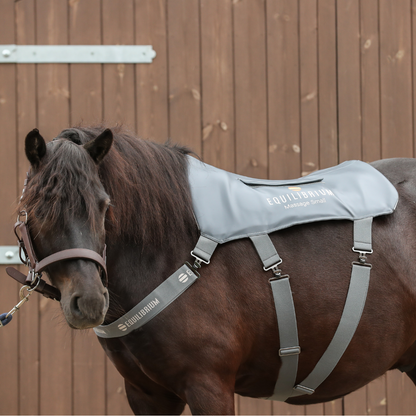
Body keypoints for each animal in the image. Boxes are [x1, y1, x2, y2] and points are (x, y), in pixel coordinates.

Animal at [16, 125, 416, 414]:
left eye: (103, 205)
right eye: (38, 208)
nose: (89, 301)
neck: (174, 248)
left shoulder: (208, 386)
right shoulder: (147, 394)